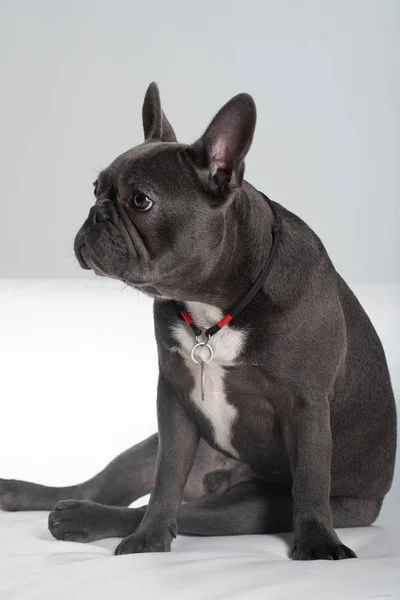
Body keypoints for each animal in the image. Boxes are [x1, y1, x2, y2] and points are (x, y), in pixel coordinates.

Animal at [0, 82, 396, 560]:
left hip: (248, 507)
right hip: (147, 450)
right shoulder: (172, 400)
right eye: (95, 189)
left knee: (189, 511)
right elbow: (165, 481)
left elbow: (311, 479)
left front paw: (318, 543)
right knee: (114, 489)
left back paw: (81, 518)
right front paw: (150, 538)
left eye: (141, 201)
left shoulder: (307, 405)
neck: (215, 306)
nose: (96, 213)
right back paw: (33, 497)